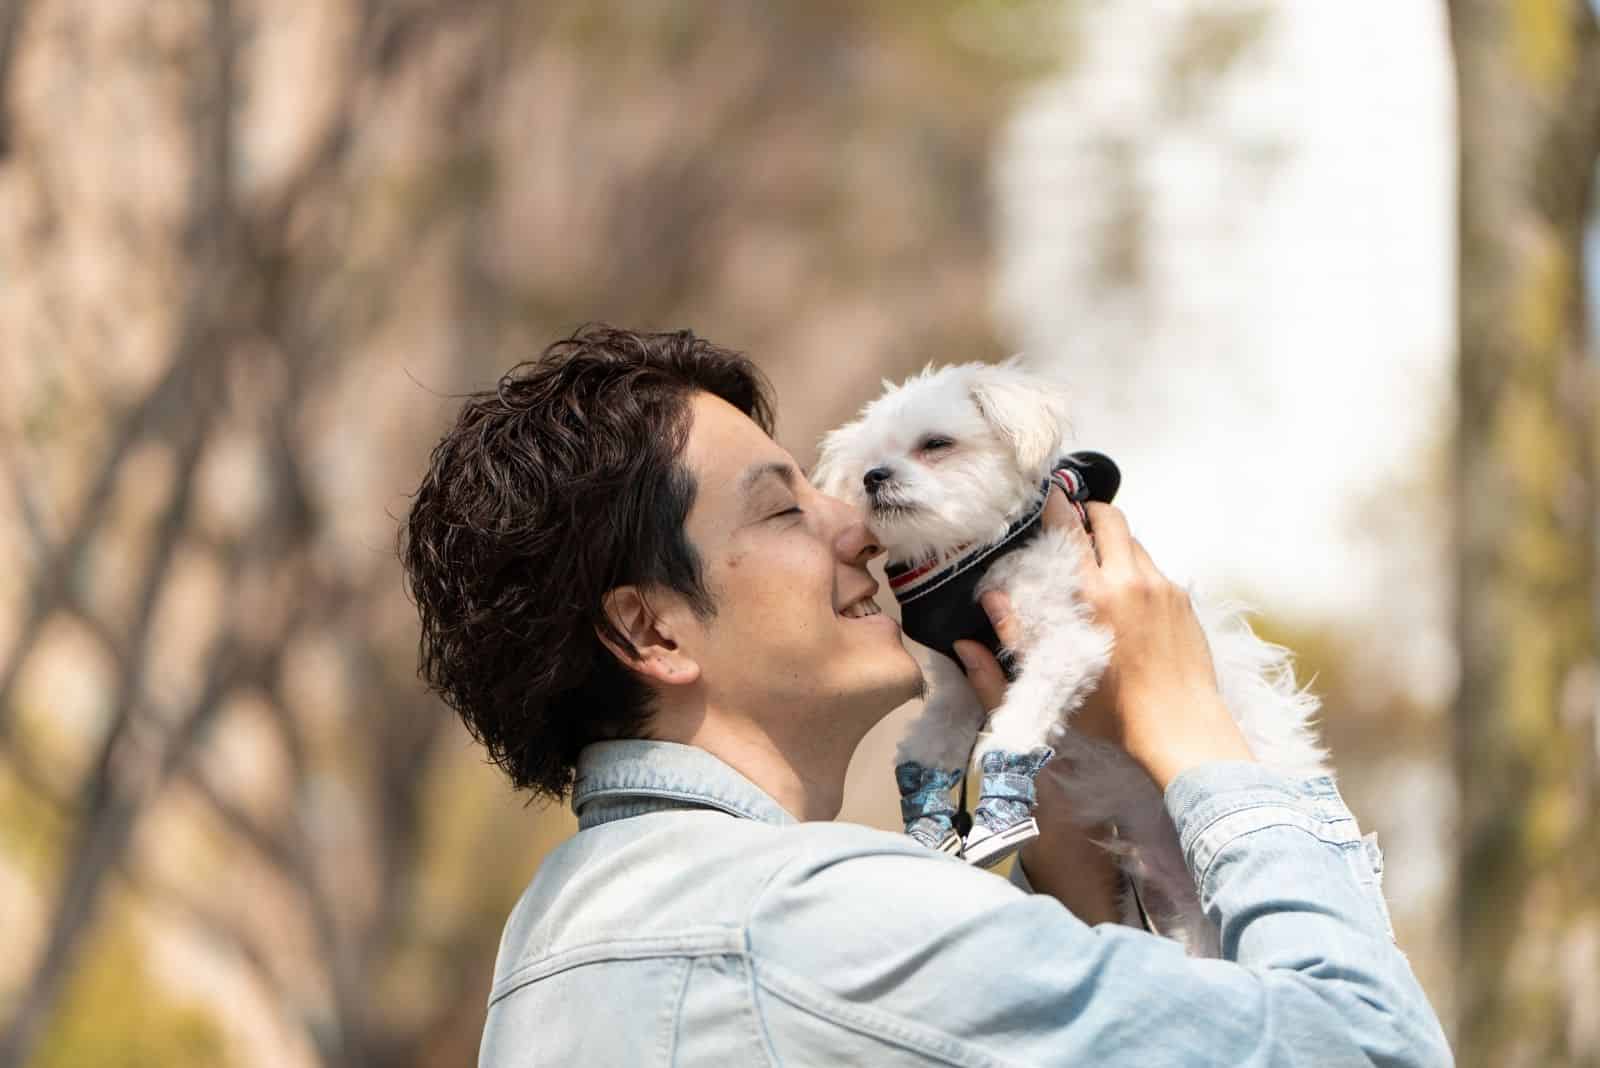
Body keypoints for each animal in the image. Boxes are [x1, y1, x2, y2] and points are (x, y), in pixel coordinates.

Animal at [812, 356, 1324, 952]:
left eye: (935, 444)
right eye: (865, 463)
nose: (874, 477)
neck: (971, 563)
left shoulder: (1067, 644)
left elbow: (1013, 726)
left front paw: (998, 806)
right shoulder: (960, 683)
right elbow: (929, 748)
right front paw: (926, 820)